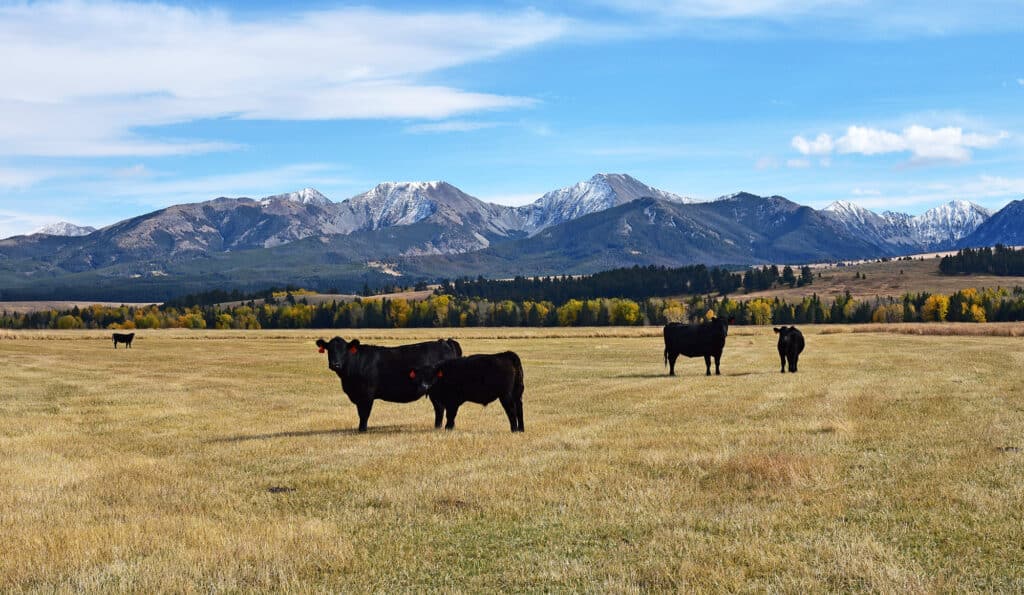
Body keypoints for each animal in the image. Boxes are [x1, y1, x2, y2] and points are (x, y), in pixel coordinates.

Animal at [315, 337, 462, 432]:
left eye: (344, 350)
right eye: (329, 350)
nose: (335, 364)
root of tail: (444, 342)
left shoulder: (366, 394)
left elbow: (364, 413)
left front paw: (362, 430)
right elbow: (360, 412)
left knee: (443, 408)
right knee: (439, 408)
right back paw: (437, 427)